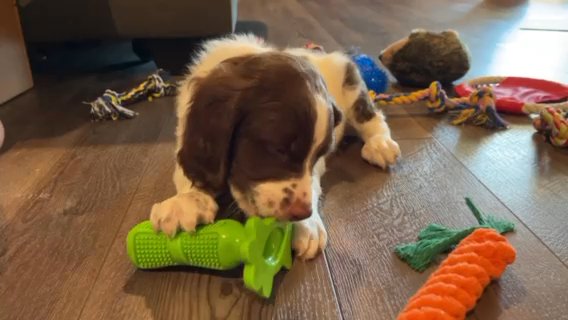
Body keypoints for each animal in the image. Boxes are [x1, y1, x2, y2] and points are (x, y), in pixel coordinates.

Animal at [151, 34, 400, 260]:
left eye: (318, 155)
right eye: (278, 149)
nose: (302, 214)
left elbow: (312, 182)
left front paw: (307, 226)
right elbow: (187, 169)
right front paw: (186, 201)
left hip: (348, 80)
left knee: (371, 115)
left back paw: (380, 144)